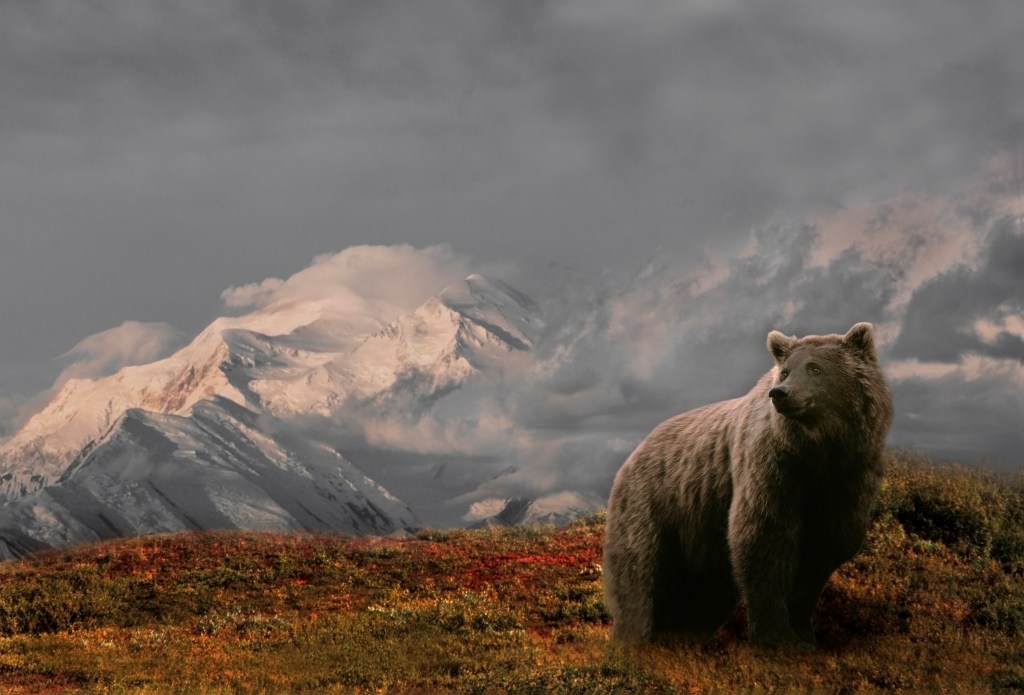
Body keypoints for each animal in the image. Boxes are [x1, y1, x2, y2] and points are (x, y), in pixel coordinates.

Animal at [602, 322, 893, 648]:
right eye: (785, 371)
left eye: (815, 368)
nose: (780, 393)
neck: (818, 450)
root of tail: (635, 453)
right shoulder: (771, 466)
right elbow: (763, 537)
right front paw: (777, 637)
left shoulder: (849, 477)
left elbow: (824, 547)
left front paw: (804, 633)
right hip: (655, 502)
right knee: (638, 570)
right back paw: (633, 637)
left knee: (703, 594)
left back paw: (681, 634)